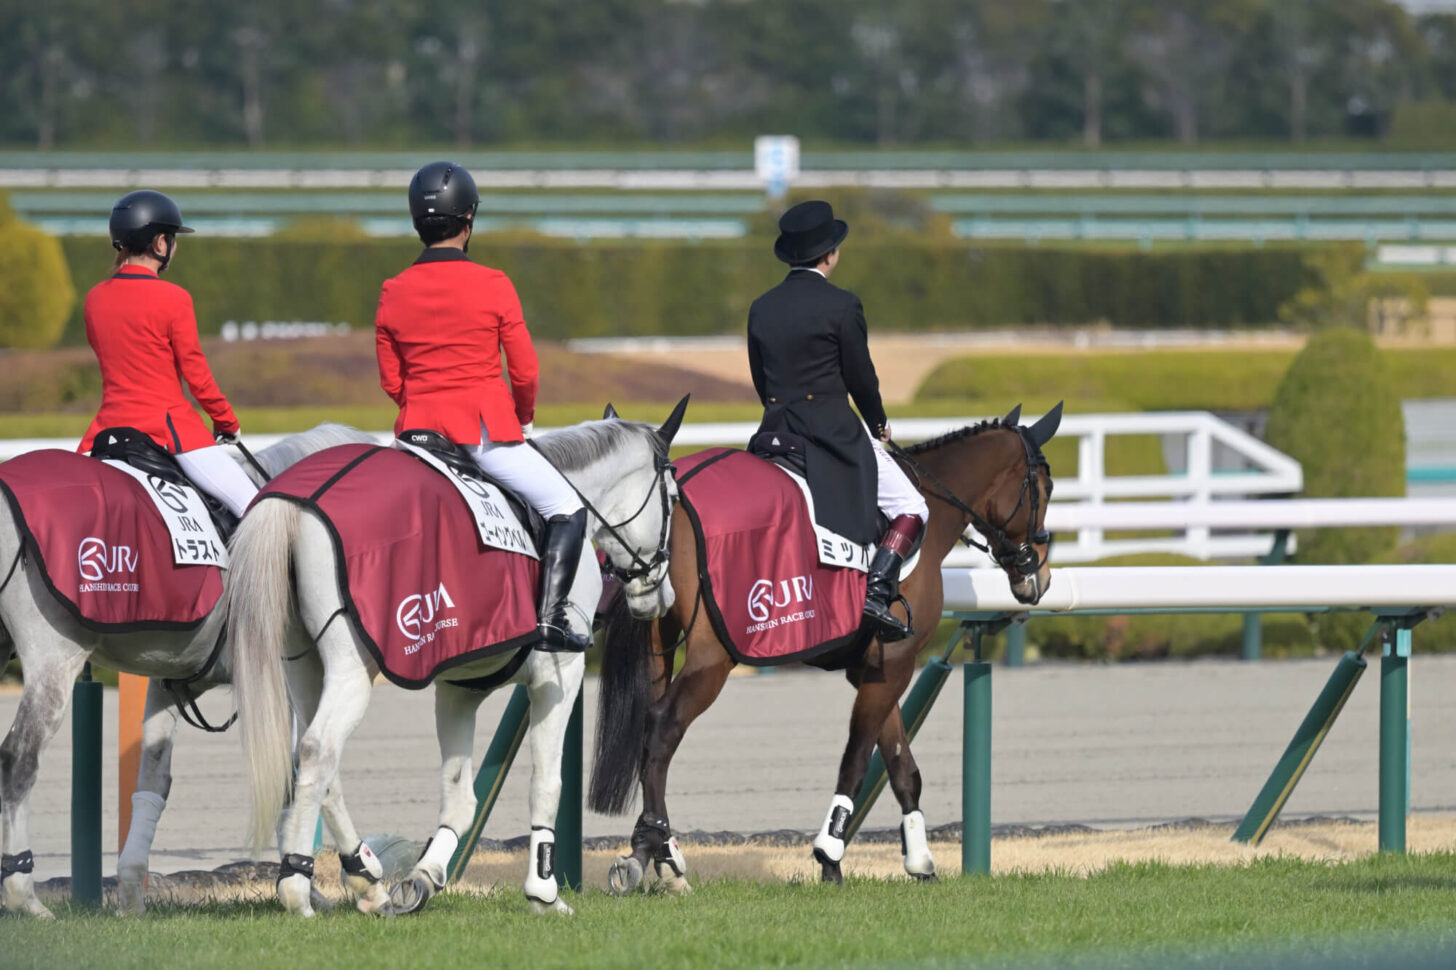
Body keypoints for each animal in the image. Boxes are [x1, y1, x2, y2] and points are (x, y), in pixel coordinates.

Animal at [1, 422, 375, 914]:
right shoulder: (279, 684)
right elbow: (300, 776)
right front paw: (324, 883)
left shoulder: (169, 684)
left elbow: (153, 781)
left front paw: (131, 894)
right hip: (54, 663)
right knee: (18, 760)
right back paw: (24, 897)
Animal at [588, 401, 1059, 891]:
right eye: (1046, 488)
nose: (1039, 576)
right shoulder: (895, 663)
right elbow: (857, 759)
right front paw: (830, 852)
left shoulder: (877, 667)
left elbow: (901, 766)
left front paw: (920, 861)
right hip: (711, 658)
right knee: (664, 727)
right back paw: (662, 851)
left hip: (657, 642)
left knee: (648, 730)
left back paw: (648, 850)